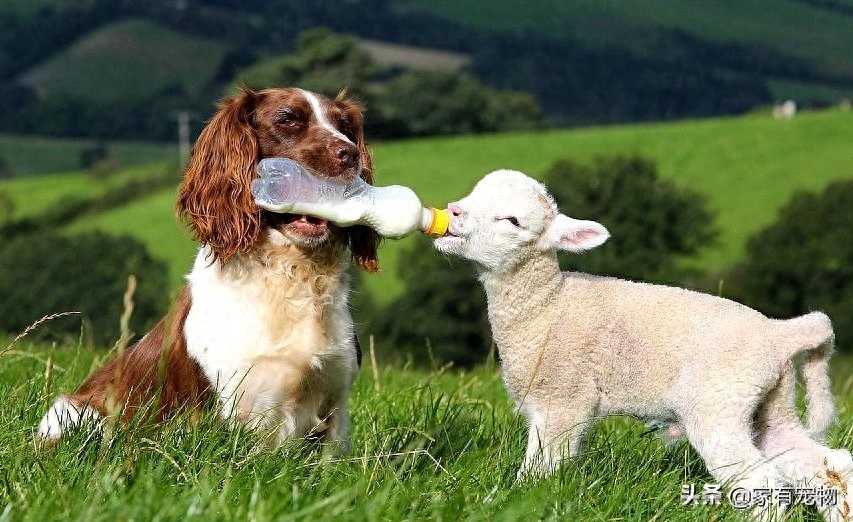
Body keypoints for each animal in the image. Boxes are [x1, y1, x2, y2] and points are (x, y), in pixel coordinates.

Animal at [36, 86, 376, 446]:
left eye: (344, 126)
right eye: (287, 119)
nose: (350, 154)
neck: (291, 274)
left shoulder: (335, 404)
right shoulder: (238, 405)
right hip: (77, 414)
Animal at [436, 169, 848, 516]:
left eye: (512, 221)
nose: (453, 211)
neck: (547, 307)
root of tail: (779, 334)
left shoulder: (563, 402)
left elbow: (541, 468)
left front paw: (518, 502)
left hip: (718, 402)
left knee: (762, 482)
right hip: (770, 405)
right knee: (829, 465)